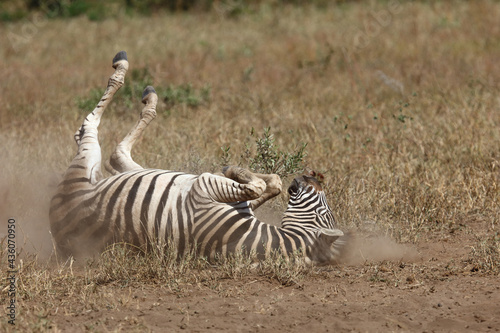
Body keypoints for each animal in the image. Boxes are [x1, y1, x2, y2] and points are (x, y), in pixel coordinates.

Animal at [49, 51, 348, 264]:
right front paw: (237, 171)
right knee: (116, 155)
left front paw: (234, 169)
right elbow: (271, 182)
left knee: (94, 131)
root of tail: (59, 235)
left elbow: (257, 185)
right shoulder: (230, 197)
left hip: (85, 163)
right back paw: (146, 94)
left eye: (323, 212)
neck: (250, 238)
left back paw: (128, 74)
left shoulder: (203, 187)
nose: (313, 175)